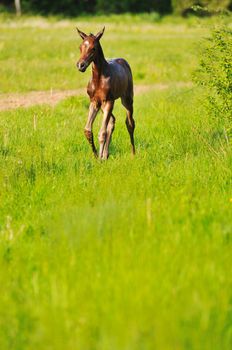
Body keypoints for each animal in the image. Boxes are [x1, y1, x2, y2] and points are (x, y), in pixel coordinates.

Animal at [76, 27, 135, 160]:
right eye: (80, 47)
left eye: (93, 48)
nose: (80, 65)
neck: (98, 79)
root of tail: (124, 61)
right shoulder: (94, 102)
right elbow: (88, 130)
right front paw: (97, 155)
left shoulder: (108, 101)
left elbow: (102, 132)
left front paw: (100, 158)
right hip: (103, 106)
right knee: (112, 121)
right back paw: (105, 155)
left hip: (126, 99)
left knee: (130, 123)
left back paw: (133, 153)